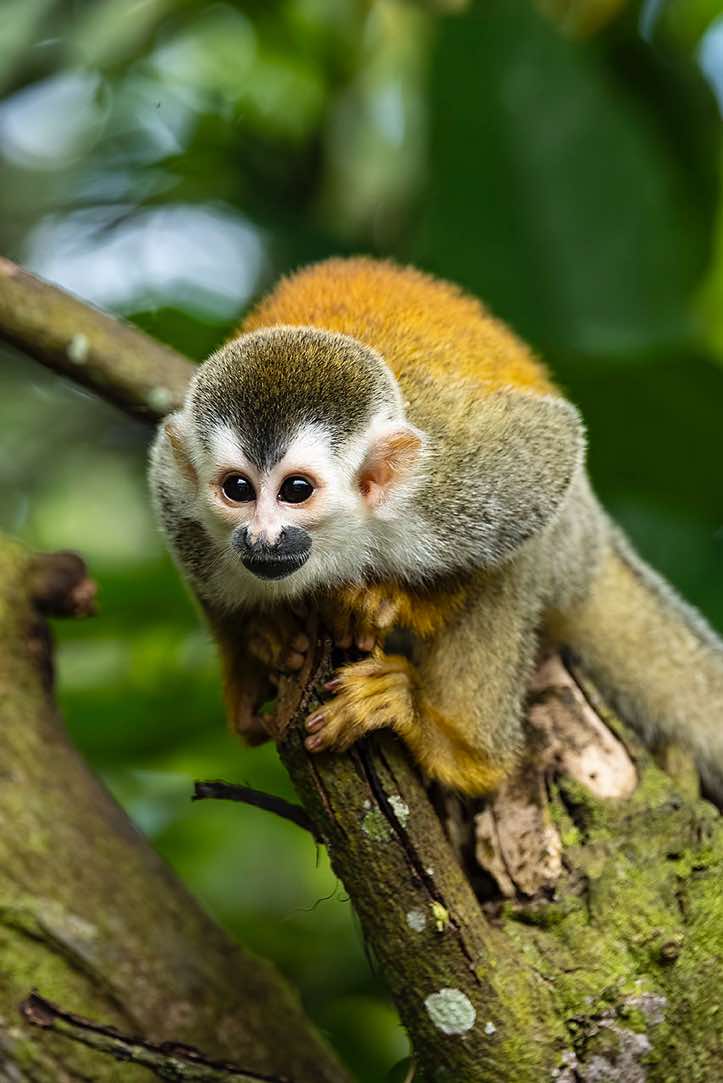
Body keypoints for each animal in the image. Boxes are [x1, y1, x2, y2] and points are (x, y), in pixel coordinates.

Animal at [149, 257, 723, 800]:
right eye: (237, 489)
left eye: (295, 490)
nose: (262, 537)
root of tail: (599, 537)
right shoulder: (181, 505)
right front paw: (255, 653)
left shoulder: (453, 489)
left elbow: (550, 447)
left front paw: (395, 603)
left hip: (567, 537)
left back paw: (459, 751)